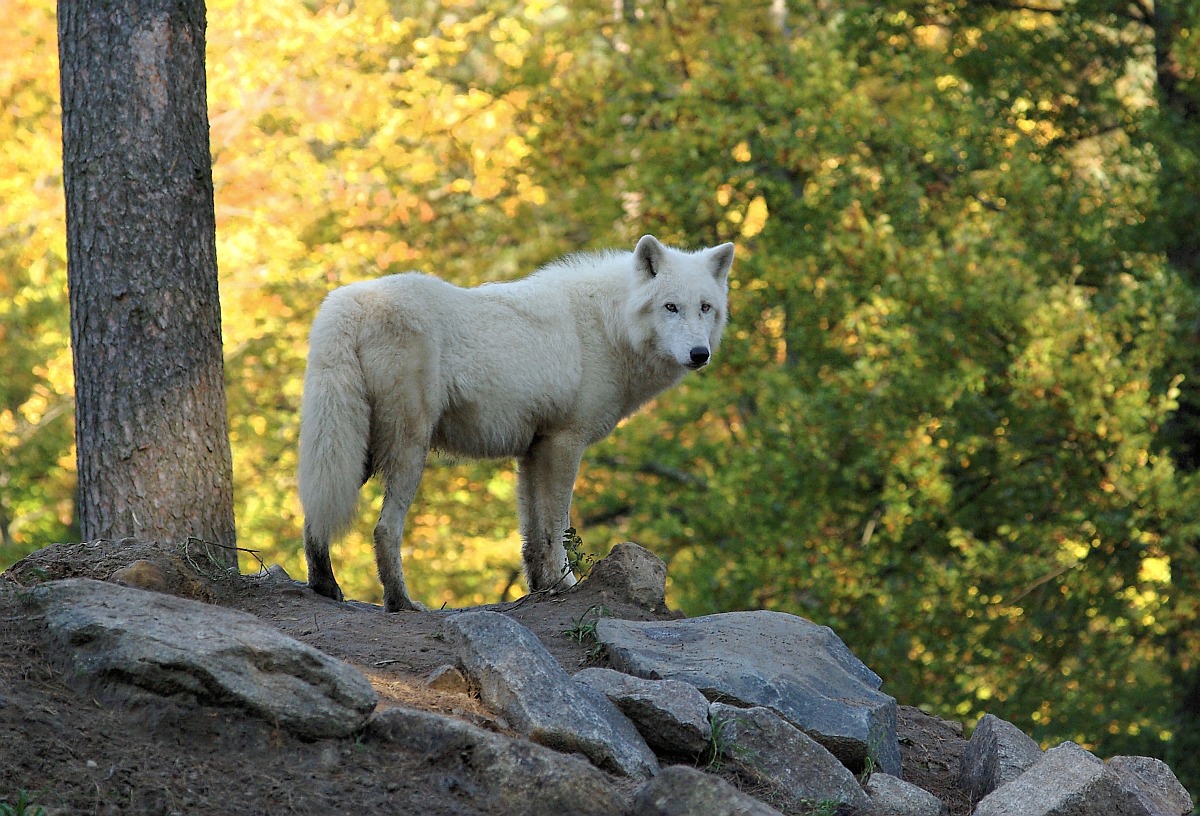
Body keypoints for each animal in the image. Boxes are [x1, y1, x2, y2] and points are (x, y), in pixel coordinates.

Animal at [297, 232, 729, 609]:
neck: (609, 326)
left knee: (314, 508)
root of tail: (350, 303)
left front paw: (543, 588)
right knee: (384, 530)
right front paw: (565, 586)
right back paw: (401, 603)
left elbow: (533, 536)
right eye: (670, 307)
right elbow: (556, 529)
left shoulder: (533, 451)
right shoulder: (564, 443)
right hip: (406, 450)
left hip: (355, 450)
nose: (700, 354)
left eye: (705, 307)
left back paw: (324, 587)